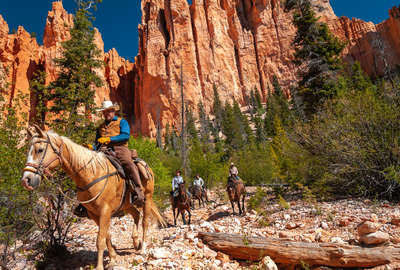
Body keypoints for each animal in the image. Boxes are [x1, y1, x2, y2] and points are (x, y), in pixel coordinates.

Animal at [21, 126, 166, 270]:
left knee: (145, 222)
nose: (26, 180)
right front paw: (113, 259)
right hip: (127, 204)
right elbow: (106, 235)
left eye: (40, 150)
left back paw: (143, 248)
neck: (91, 174)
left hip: (147, 198)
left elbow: (100, 240)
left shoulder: (105, 211)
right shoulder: (94, 213)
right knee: (136, 215)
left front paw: (100, 266)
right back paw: (136, 241)